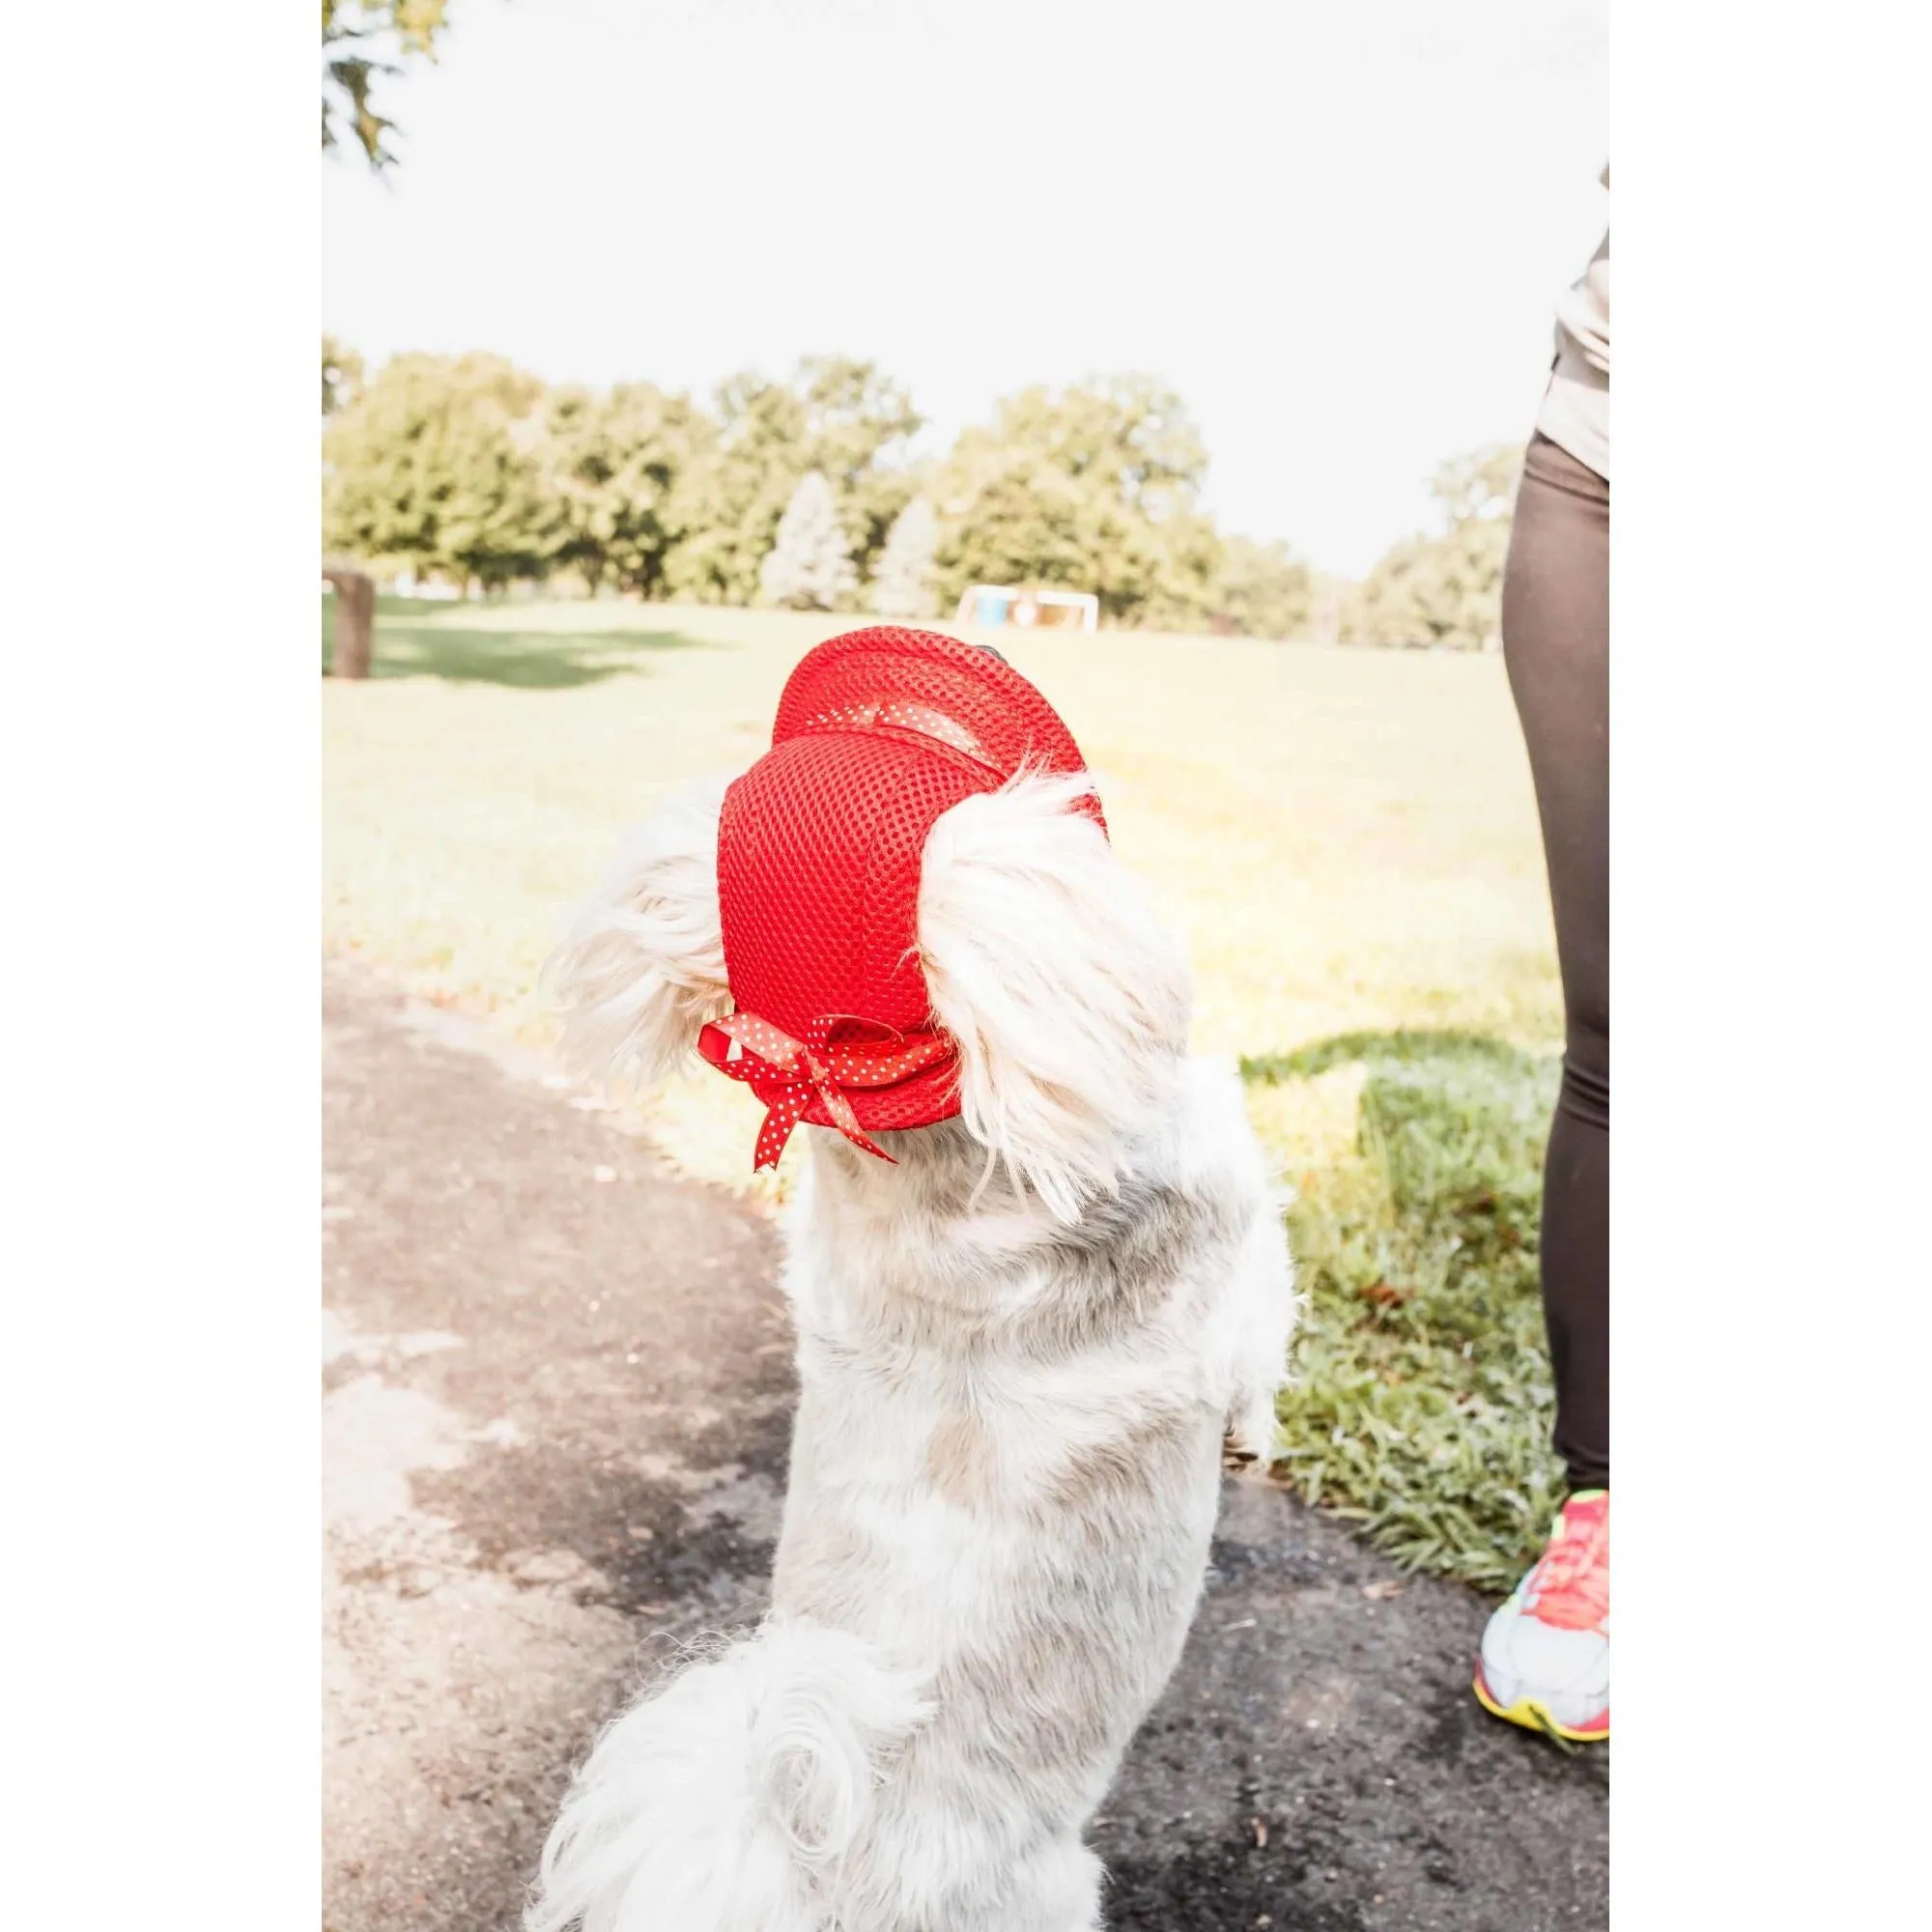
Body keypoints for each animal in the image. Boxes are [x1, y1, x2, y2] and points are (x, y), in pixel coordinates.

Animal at [529, 761, 1298, 1924]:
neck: (929, 1167)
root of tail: (814, 1875)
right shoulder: (1239, 1248)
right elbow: (1267, 1332)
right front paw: (1253, 1435)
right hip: (1051, 1887)